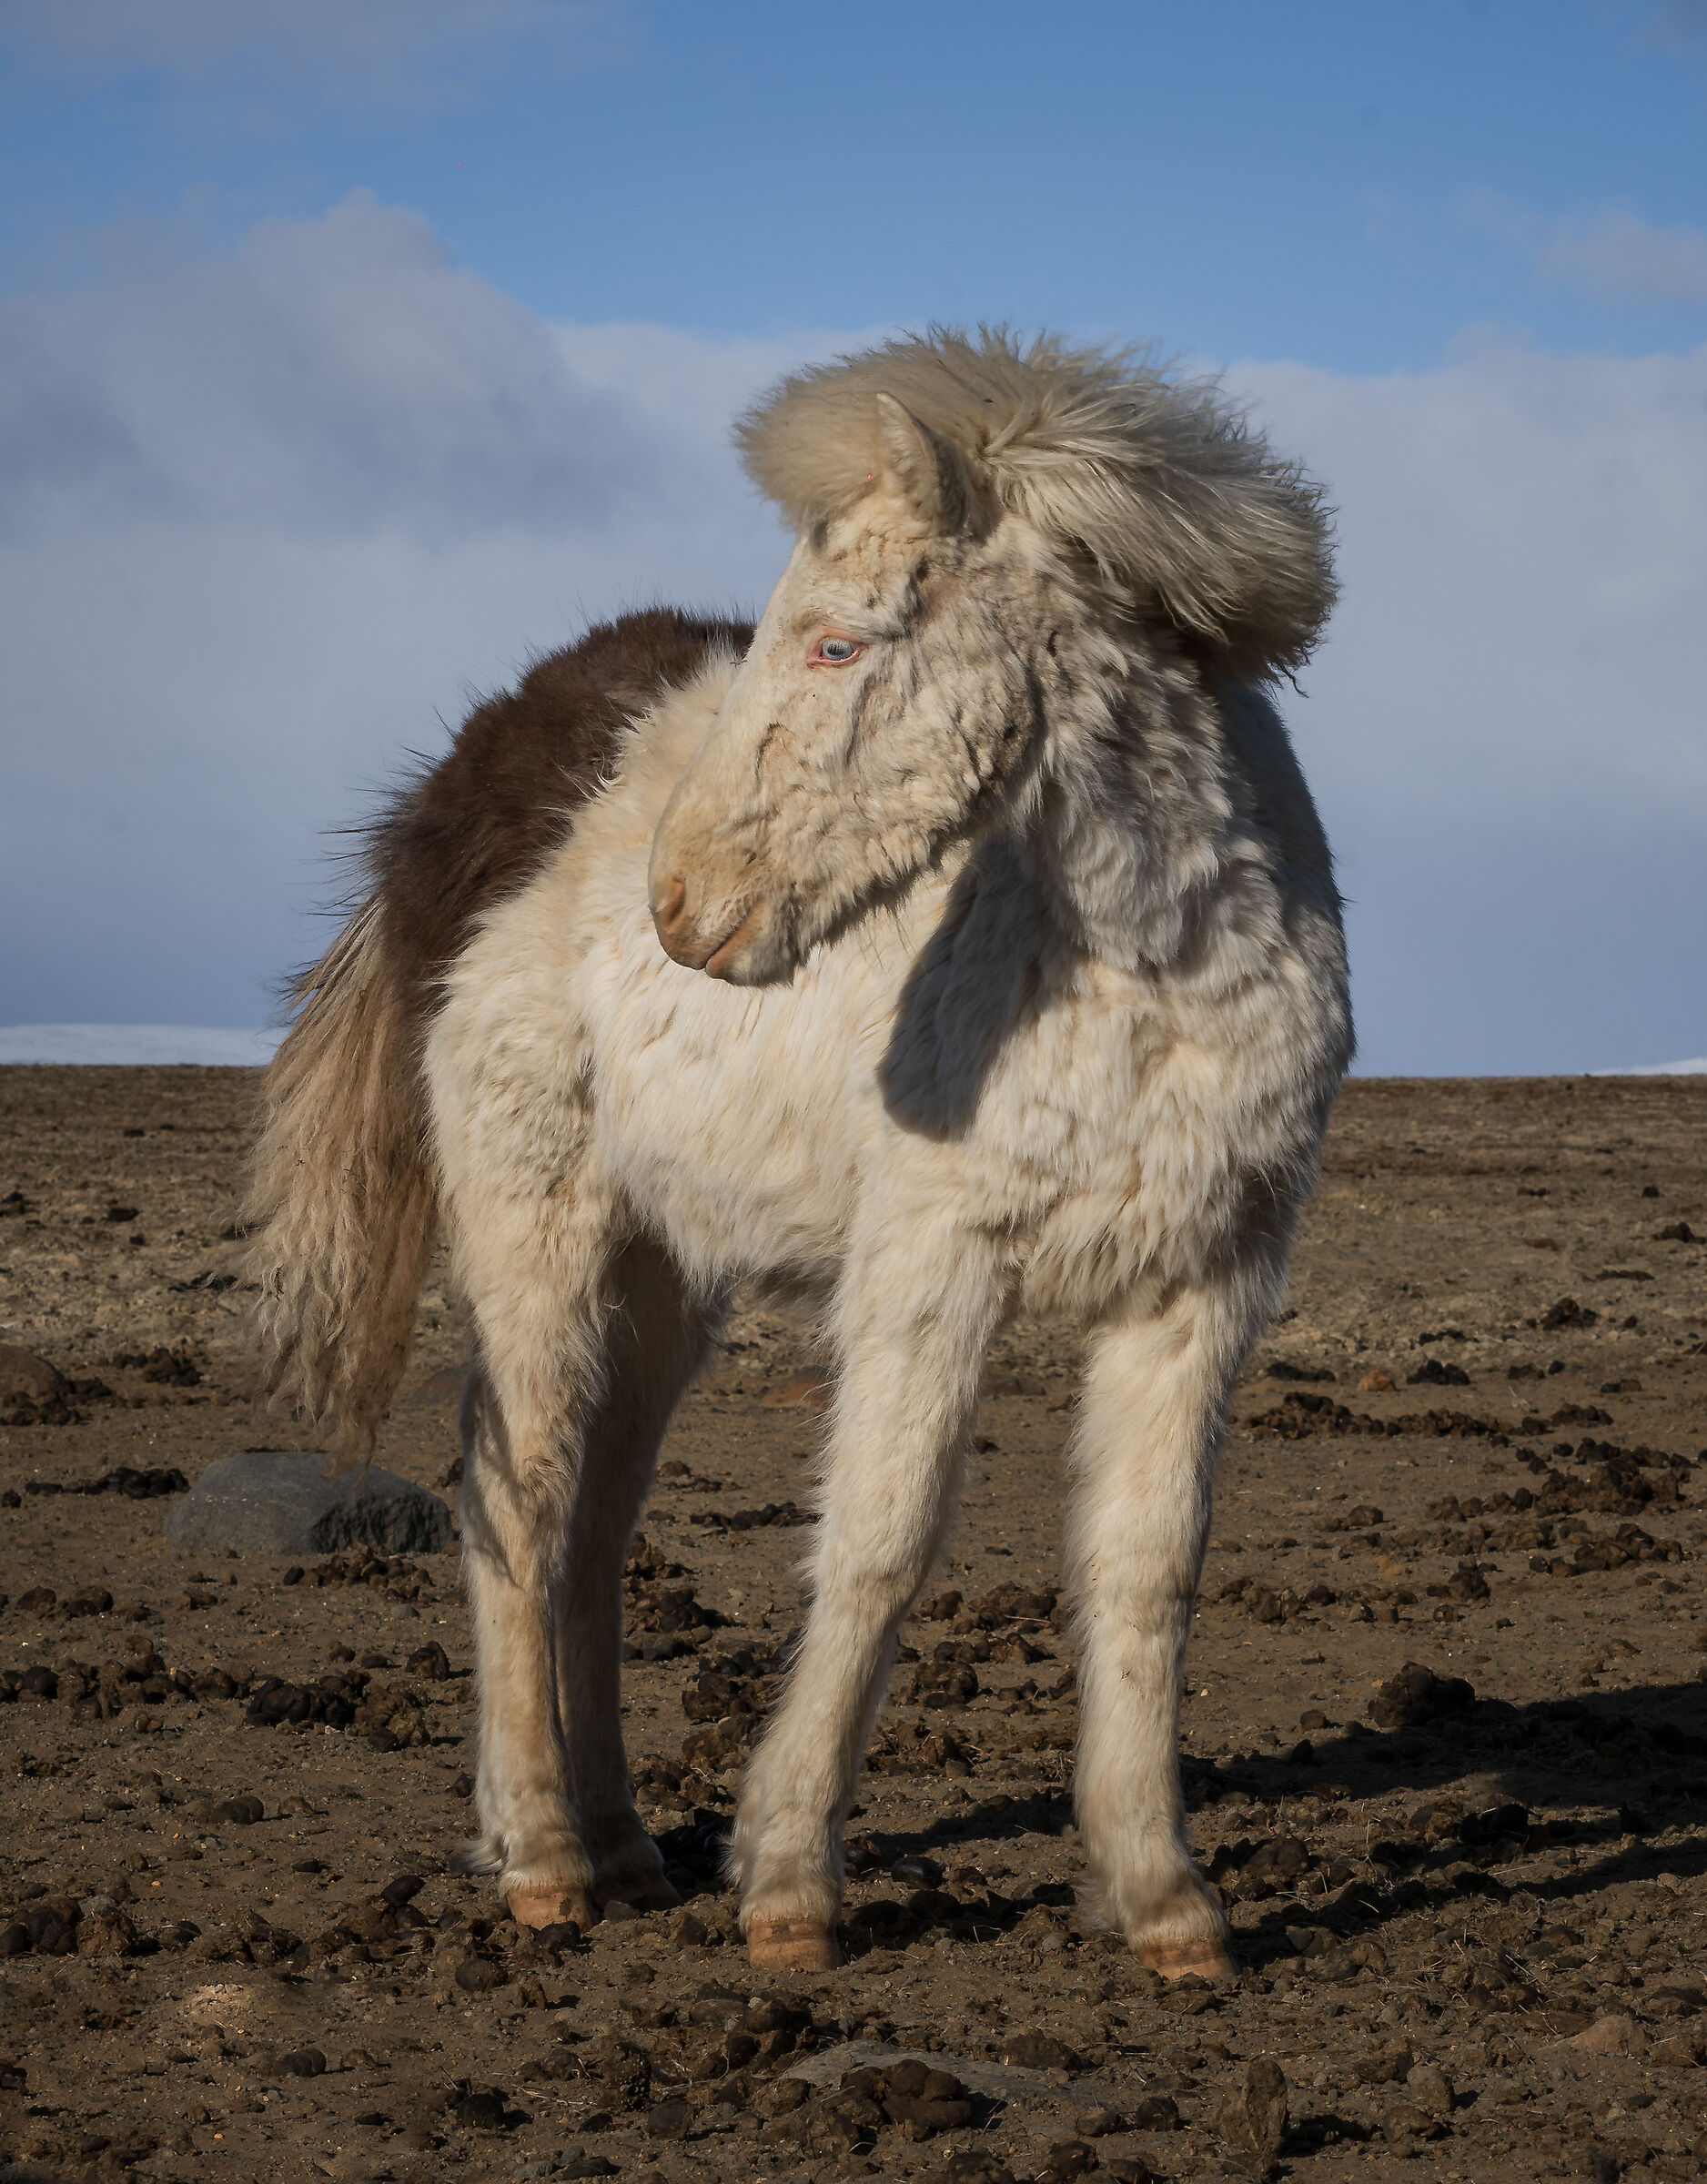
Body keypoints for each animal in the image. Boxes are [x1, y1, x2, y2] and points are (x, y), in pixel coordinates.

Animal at [242, 328, 1352, 1981]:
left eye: (836, 644)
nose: (681, 905)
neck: (1152, 974)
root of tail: (463, 791)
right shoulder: (932, 1262)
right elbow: (881, 1543)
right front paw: (786, 1885)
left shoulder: (1207, 1280)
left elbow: (1148, 1572)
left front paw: (1165, 1902)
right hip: (532, 1224)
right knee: (518, 1503)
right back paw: (544, 1862)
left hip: (660, 1277)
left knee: (594, 1526)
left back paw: (625, 1845)